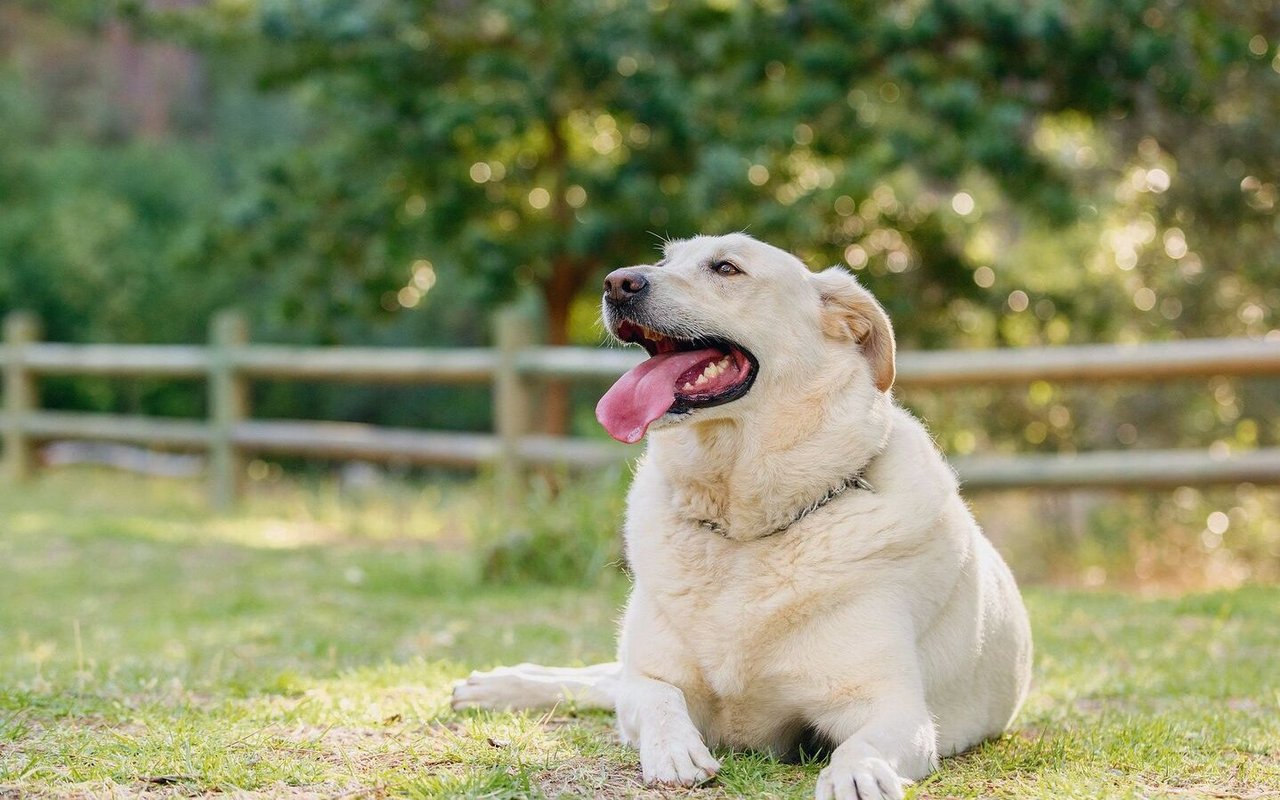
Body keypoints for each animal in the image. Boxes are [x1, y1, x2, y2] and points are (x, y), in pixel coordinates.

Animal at [455, 232, 1034, 798]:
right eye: (664, 261)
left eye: (726, 268)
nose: (617, 283)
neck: (742, 529)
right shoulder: (654, 677)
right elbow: (658, 699)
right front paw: (674, 751)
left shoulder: (893, 707)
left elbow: (861, 745)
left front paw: (857, 776)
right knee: (603, 677)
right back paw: (495, 685)